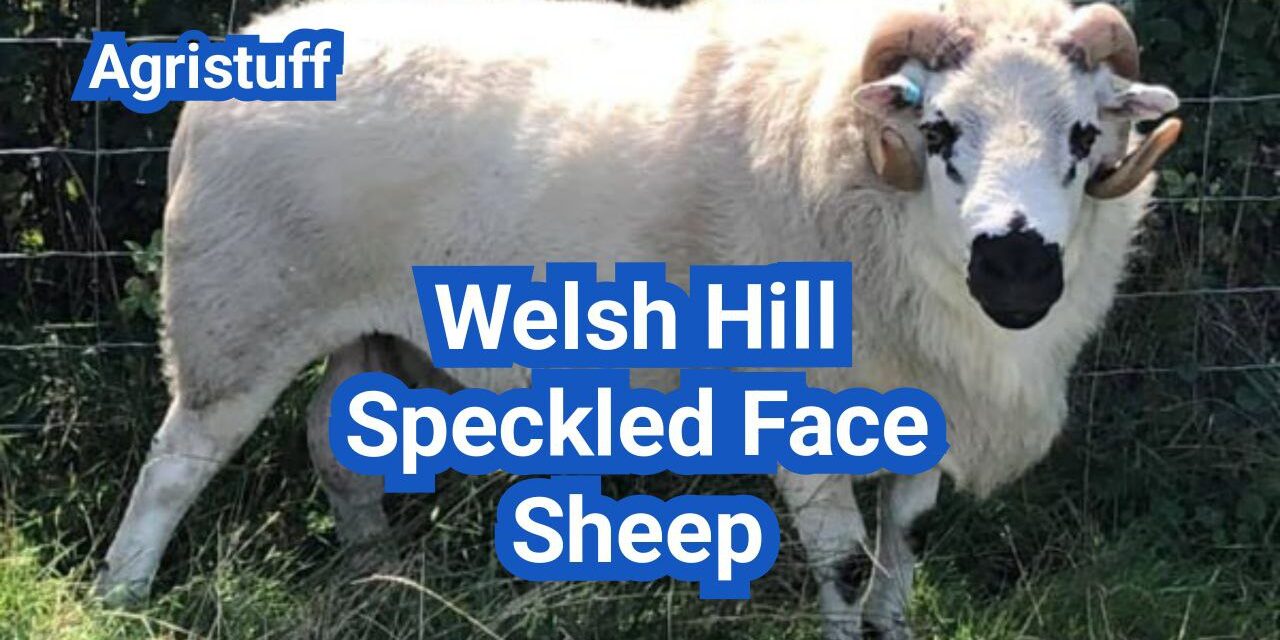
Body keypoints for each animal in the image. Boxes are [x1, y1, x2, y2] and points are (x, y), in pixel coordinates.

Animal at [94, 0, 1181, 637]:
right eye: (940, 130)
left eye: (1082, 136)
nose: (1014, 266)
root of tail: (239, 55)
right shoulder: (803, 408)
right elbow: (841, 558)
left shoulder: (920, 395)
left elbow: (903, 539)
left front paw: (892, 625)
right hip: (238, 308)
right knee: (175, 465)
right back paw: (121, 594)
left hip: (372, 331)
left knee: (338, 448)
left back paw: (378, 581)